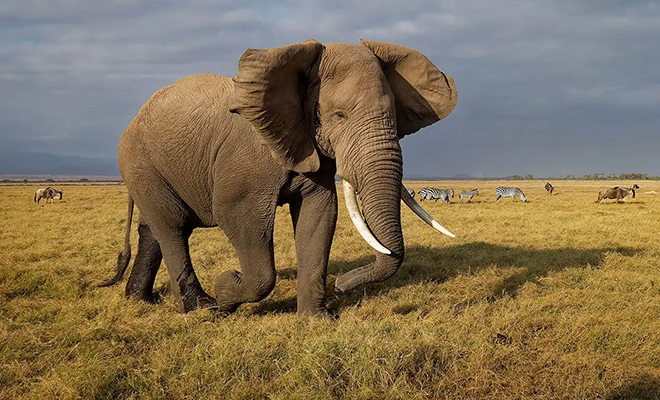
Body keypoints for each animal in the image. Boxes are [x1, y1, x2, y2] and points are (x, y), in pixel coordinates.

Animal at [100, 39, 456, 318]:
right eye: (339, 116)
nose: (342, 287)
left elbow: (319, 215)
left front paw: (317, 321)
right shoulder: (247, 158)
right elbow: (238, 218)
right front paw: (226, 288)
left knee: (154, 230)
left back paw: (141, 301)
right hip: (139, 163)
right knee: (172, 227)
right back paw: (201, 307)